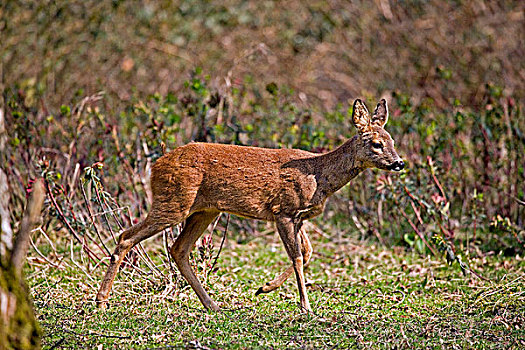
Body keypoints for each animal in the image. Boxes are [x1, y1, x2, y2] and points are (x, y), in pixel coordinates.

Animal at [96, 98, 404, 312]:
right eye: (376, 143)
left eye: (392, 141)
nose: (399, 162)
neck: (319, 177)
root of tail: (156, 165)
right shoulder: (283, 211)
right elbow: (298, 256)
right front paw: (305, 305)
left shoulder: (300, 216)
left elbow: (307, 251)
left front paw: (264, 288)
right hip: (173, 201)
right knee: (126, 236)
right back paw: (101, 301)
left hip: (205, 210)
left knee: (178, 248)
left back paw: (213, 305)